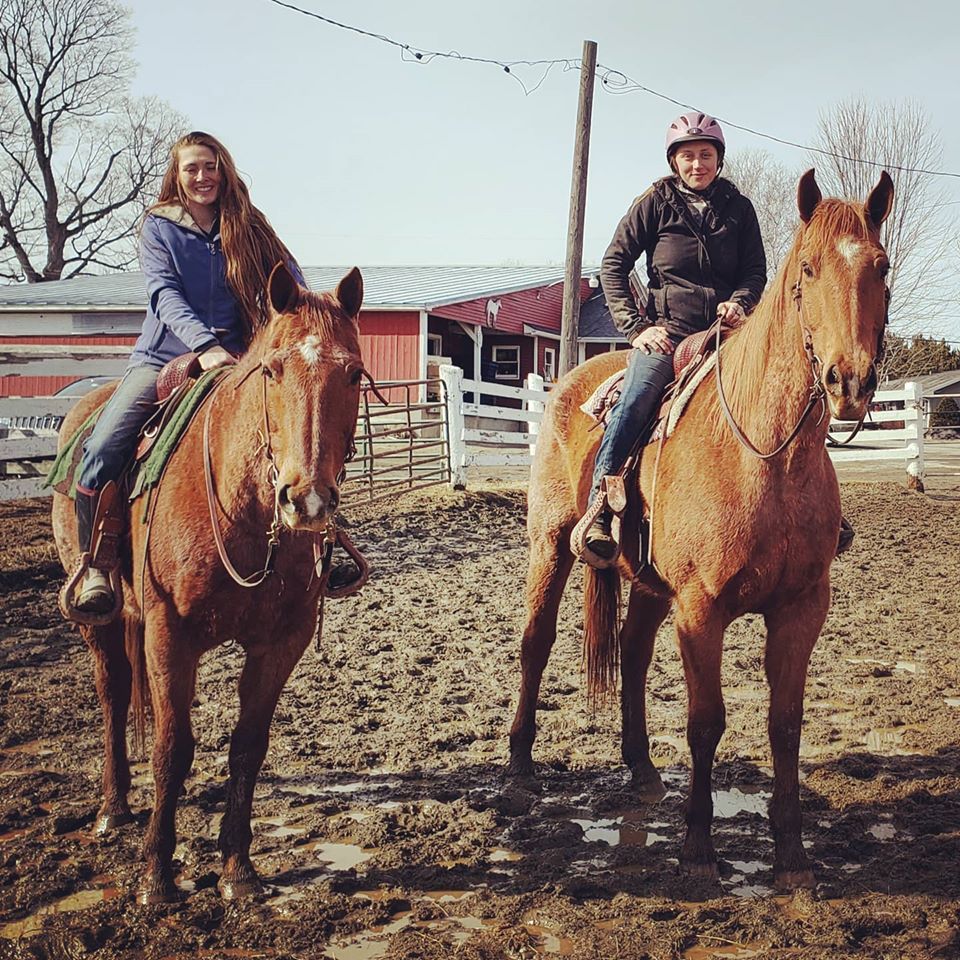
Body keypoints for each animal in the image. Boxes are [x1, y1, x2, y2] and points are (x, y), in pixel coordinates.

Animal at [51, 264, 365, 903]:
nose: (307, 500)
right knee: (112, 692)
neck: (240, 507)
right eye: (271, 369)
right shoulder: (170, 636)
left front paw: (237, 868)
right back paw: (113, 807)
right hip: (101, 621)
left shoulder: (281, 642)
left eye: (352, 372)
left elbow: (247, 745)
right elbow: (174, 748)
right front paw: (156, 874)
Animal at [508, 169, 894, 891]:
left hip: (648, 585)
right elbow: (706, 722)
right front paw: (696, 849)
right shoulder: (701, 609)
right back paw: (518, 762)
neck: (763, 455)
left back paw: (640, 767)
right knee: (535, 644)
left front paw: (792, 852)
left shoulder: (801, 608)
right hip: (549, 544)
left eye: (880, 266)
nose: (849, 381)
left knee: (631, 651)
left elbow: (785, 723)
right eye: (807, 268)